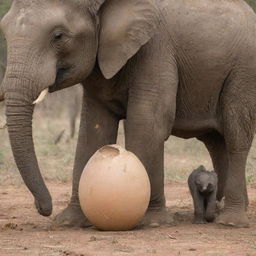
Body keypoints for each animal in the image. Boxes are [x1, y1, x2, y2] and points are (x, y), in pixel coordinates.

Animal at [0, 0, 256, 228]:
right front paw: (70, 222)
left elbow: (147, 124)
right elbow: (94, 130)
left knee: (236, 137)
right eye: (4, 29)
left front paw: (150, 222)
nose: (43, 208)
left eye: (59, 36)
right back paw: (224, 211)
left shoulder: (155, 49)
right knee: (216, 142)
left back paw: (231, 221)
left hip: (244, 73)